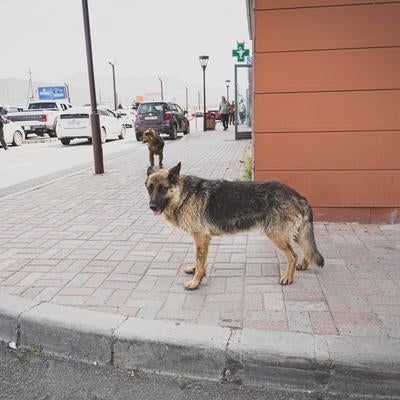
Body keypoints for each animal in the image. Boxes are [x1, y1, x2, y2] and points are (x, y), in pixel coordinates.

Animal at [145, 162, 324, 290]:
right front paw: (196, 270)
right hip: (295, 232)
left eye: (163, 188)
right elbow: (201, 260)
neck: (184, 195)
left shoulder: (201, 237)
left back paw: (288, 277)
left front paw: (196, 282)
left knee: (293, 255)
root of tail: (298, 196)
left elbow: (200, 260)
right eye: (150, 189)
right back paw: (304, 264)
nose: (152, 207)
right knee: (306, 248)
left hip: (275, 235)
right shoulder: (202, 240)